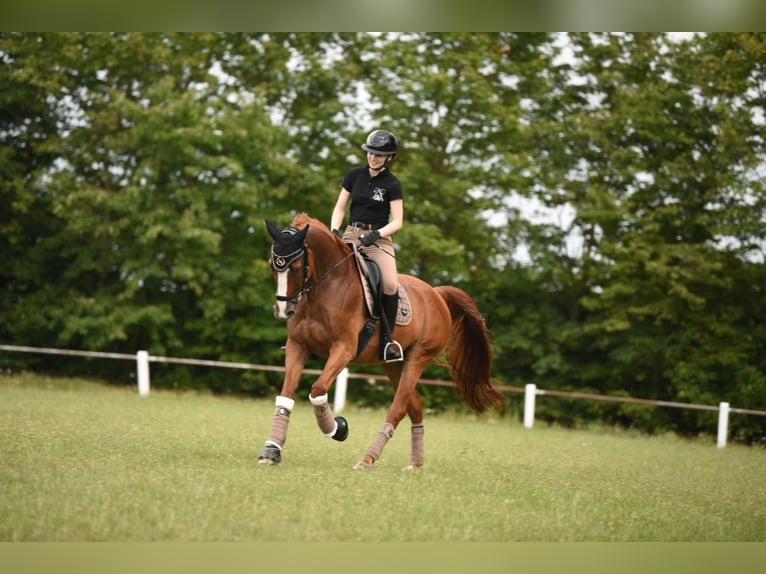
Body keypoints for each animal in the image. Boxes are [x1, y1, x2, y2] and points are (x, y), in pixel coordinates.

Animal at [260, 214, 508, 470]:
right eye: (272, 265)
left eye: (297, 268)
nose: (283, 311)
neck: (324, 288)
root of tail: (436, 294)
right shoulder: (297, 346)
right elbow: (286, 396)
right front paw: (271, 450)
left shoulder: (344, 349)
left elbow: (317, 390)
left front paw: (338, 428)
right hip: (393, 364)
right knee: (415, 406)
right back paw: (415, 464)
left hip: (418, 357)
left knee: (398, 408)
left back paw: (367, 459)